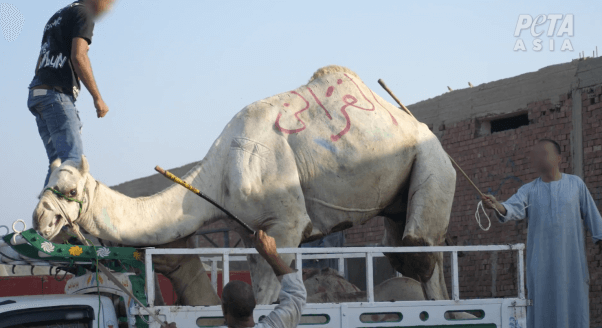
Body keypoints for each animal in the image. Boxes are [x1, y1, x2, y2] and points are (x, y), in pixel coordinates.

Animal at [32, 65, 452, 304]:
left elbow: (269, 294)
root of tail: (416, 124)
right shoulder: (253, 231)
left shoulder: (287, 223)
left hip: (434, 161)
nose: (40, 219)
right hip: (399, 203)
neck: (218, 177)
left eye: (70, 192)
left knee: (420, 253)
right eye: (44, 187)